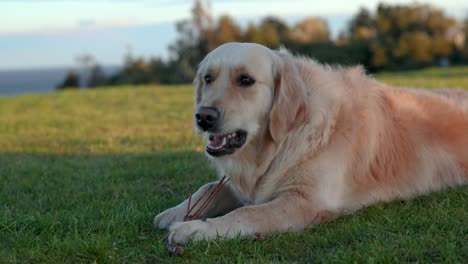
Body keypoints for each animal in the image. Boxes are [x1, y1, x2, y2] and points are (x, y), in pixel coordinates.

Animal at [154, 41, 468, 245]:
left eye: (245, 80)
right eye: (208, 78)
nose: (203, 117)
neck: (279, 142)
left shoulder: (304, 202)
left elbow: (246, 214)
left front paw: (195, 230)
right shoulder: (247, 185)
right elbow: (210, 188)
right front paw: (174, 212)